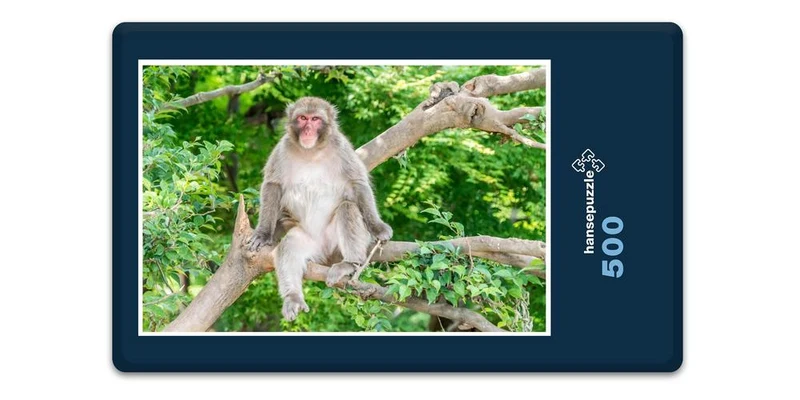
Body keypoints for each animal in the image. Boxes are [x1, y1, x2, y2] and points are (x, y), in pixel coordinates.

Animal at [246, 97, 393, 321]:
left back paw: (350, 263)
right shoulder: (282, 149)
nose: (307, 130)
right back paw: (293, 297)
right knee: (289, 246)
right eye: (302, 118)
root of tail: (325, 252)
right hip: (310, 242)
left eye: (315, 119)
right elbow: (273, 186)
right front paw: (263, 233)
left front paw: (378, 227)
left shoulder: (342, 148)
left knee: (347, 208)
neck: (311, 151)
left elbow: (357, 183)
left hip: (335, 245)